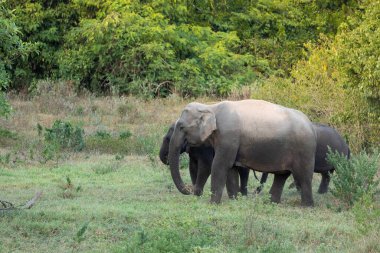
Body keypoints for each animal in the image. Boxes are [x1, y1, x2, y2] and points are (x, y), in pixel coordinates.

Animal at [168, 99, 316, 206]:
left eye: (181, 127)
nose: (190, 188)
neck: (212, 107)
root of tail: (310, 124)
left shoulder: (228, 136)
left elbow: (220, 165)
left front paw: (212, 204)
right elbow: (231, 168)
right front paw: (234, 200)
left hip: (304, 150)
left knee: (303, 177)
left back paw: (307, 206)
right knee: (281, 176)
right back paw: (272, 203)